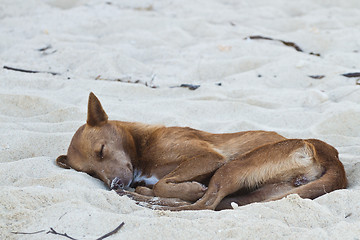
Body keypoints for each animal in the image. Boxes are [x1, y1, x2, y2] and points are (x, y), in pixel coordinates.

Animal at [55, 92, 346, 210]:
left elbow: (162, 183)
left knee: (203, 206)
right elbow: (160, 185)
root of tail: (330, 156)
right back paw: (139, 195)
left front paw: (188, 188)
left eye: (101, 150)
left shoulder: (208, 157)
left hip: (232, 166)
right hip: (265, 192)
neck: (142, 146)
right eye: (91, 173)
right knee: (208, 205)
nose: (113, 184)